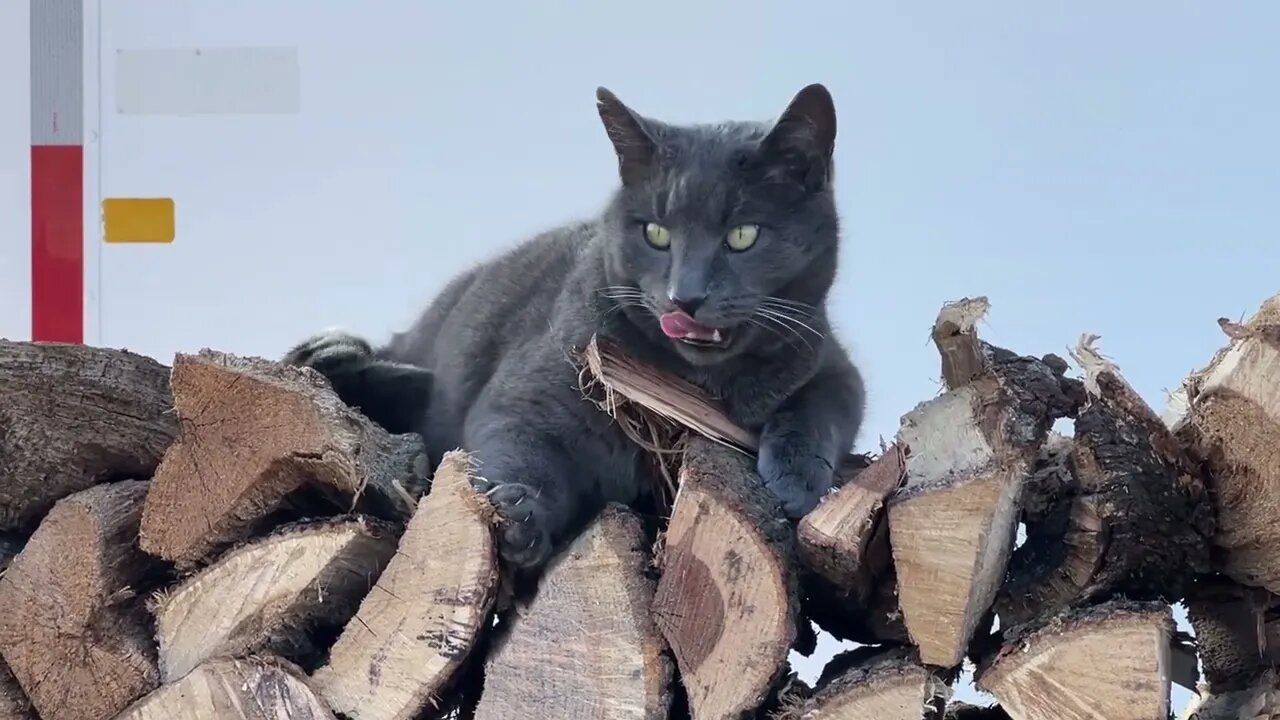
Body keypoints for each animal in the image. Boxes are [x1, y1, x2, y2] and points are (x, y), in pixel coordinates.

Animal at [285, 82, 865, 566]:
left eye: (743, 235)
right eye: (655, 233)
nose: (685, 295)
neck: (692, 382)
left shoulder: (828, 359)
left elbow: (822, 406)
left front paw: (793, 481)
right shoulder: (529, 397)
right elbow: (515, 443)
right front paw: (518, 515)